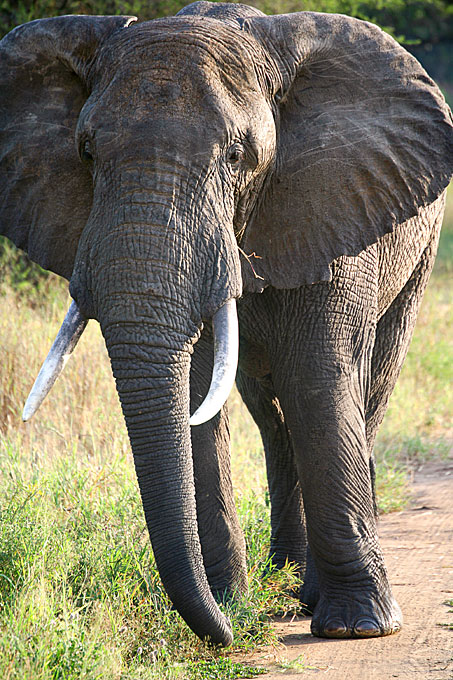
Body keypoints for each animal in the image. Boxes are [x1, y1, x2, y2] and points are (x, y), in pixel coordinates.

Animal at [1, 0, 452, 647]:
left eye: (237, 156)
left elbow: (319, 382)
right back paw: (285, 578)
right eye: (85, 152)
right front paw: (229, 603)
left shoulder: (334, 201)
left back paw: (310, 593)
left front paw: (357, 629)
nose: (227, 635)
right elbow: (195, 396)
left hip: (418, 254)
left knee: (365, 387)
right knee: (270, 414)